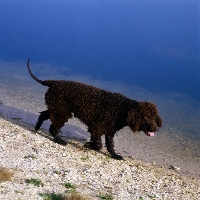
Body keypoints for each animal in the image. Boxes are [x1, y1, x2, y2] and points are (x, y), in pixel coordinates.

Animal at [27, 57, 161, 159]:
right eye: (146, 117)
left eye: (154, 117)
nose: (156, 129)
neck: (122, 109)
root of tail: (52, 82)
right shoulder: (96, 127)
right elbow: (98, 144)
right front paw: (89, 145)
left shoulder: (109, 130)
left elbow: (110, 145)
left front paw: (115, 155)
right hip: (61, 111)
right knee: (53, 127)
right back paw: (60, 140)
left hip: (57, 108)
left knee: (43, 115)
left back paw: (37, 128)